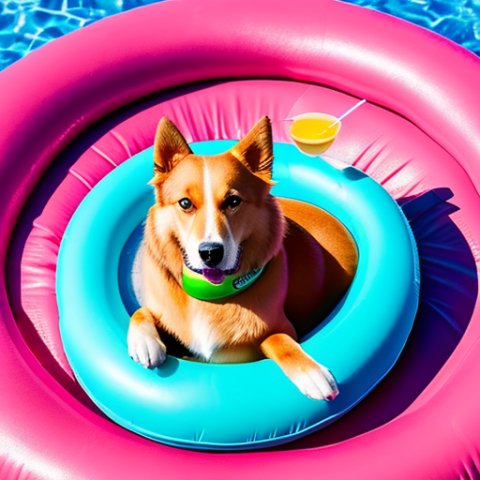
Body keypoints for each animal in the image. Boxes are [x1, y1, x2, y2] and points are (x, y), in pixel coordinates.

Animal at [127, 116, 356, 402]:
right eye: (185, 203)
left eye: (233, 201)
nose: (210, 253)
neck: (214, 298)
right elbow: (141, 311)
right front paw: (144, 342)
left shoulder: (278, 330)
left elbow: (276, 338)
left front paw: (311, 373)